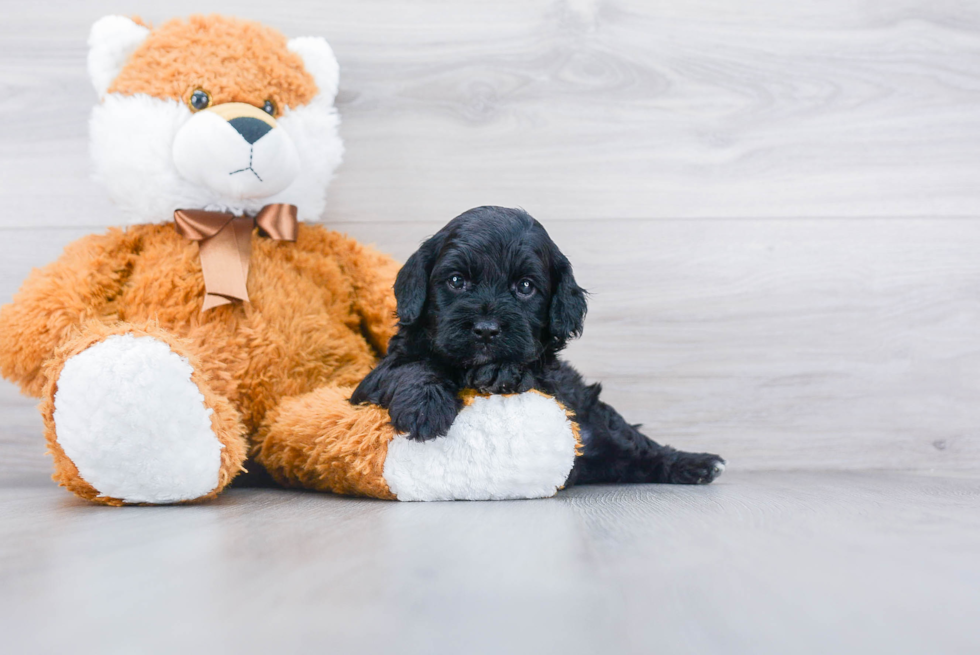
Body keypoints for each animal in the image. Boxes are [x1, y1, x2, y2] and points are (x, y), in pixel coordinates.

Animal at [352, 208, 728, 484]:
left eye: (525, 286)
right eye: (457, 281)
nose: (486, 330)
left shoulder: (553, 380)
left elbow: (531, 368)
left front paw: (501, 371)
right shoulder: (371, 381)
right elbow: (412, 367)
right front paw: (426, 407)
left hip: (591, 412)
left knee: (633, 444)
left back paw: (694, 463)